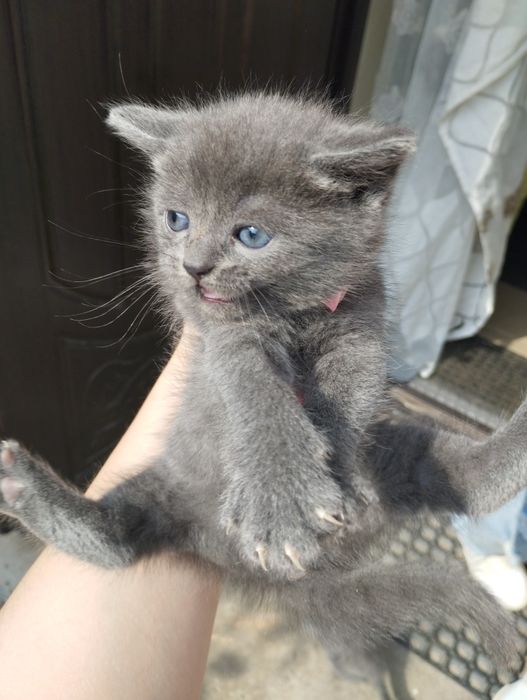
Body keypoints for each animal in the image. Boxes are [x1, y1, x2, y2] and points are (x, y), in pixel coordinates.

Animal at [1, 92, 526, 687]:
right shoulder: (219, 336)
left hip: (395, 450)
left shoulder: (362, 322)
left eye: (251, 234)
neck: (292, 311)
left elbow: (352, 391)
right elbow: (251, 385)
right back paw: (26, 488)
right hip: (170, 494)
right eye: (176, 219)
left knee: (471, 480)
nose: (193, 267)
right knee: (121, 538)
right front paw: (280, 494)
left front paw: (334, 476)